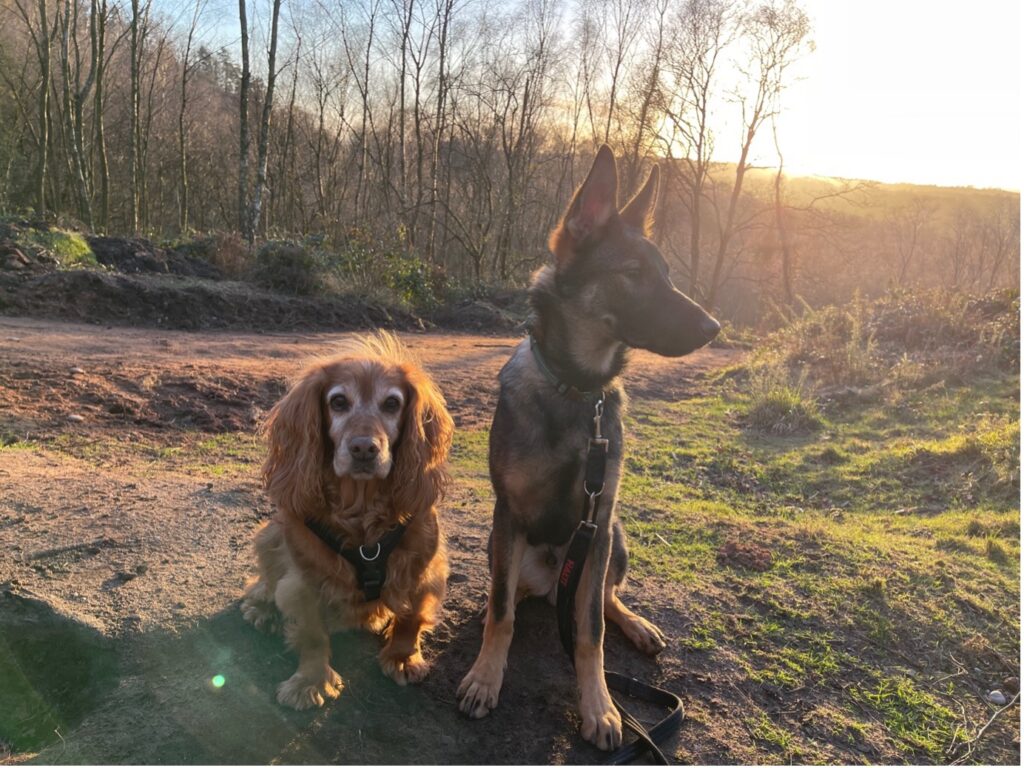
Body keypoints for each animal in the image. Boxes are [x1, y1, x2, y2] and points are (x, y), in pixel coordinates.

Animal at [241, 333, 454, 712]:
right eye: (338, 402)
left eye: (392, 404)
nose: (364, 449)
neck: (362, 510)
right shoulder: (304, 581)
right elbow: (311, 634)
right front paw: (310, 682)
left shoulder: (423, 567)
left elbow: (411, 618)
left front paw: (402, 657)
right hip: (268, 535)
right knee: (265, 579)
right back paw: (262, 607)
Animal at [456, 145, 720, 753]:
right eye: (633, 275)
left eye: (667, 276)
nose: (715, 327)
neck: (578, 390)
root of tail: (556, 583)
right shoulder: (508, 515)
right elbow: (500, 612)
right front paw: (486, 676)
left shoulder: (598, 520)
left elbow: (592, 635)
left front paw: (600, 705)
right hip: (504, 544)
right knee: (518, 594)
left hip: (614, 538)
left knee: (599, 602)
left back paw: (636, 624)